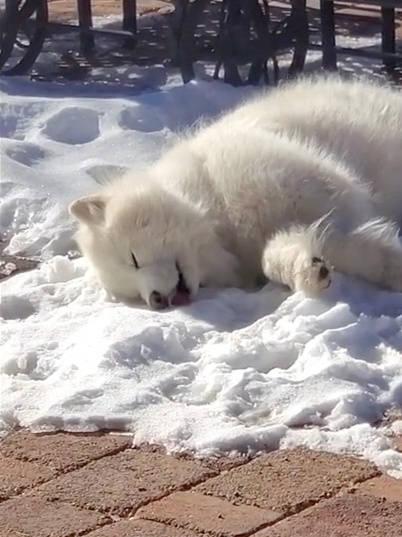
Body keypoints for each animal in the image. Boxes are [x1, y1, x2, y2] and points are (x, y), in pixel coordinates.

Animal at [69, 77, 402, 308]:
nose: (157, 301)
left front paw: (389, 263)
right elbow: (276, 256)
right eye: (133, 293)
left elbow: (346, 235)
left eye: (134, 259)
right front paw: (307, 271)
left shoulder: (325, 188)